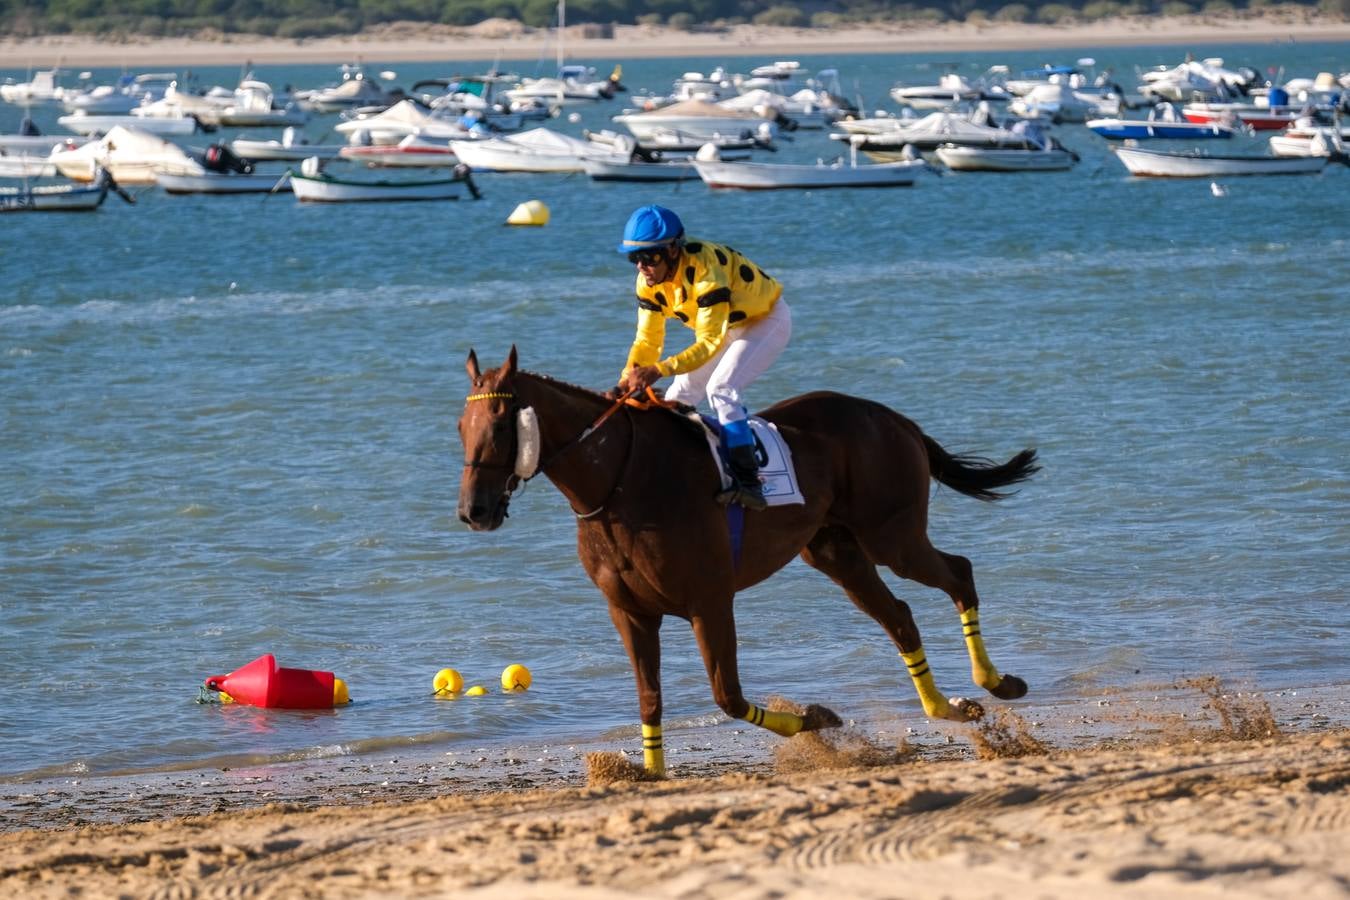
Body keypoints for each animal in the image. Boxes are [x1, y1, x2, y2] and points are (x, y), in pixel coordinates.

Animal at [459, 348, 1036, 777]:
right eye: (462, 425)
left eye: (500, 426)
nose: (473, 511)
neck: (621, 482)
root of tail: (893, 417)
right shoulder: (629, 612)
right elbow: (649, 698)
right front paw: (653, 773)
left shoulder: (709, 601)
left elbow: (728, 696)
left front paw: (816, 718)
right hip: (837, 553)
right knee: (899, 616)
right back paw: (947, 707)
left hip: (891, 538)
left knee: (958, 574)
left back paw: (995, 682)